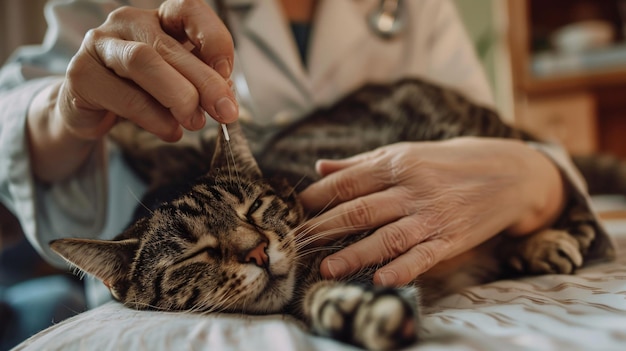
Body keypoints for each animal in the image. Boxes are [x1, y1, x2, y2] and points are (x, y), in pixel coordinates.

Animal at [47, 77, 608, 351]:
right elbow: (330, 298)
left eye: (254, 209)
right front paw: (353, 312)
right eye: (193, 255)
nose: (257, 251)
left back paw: (549, 239)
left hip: (478, 139)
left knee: (549, 170)